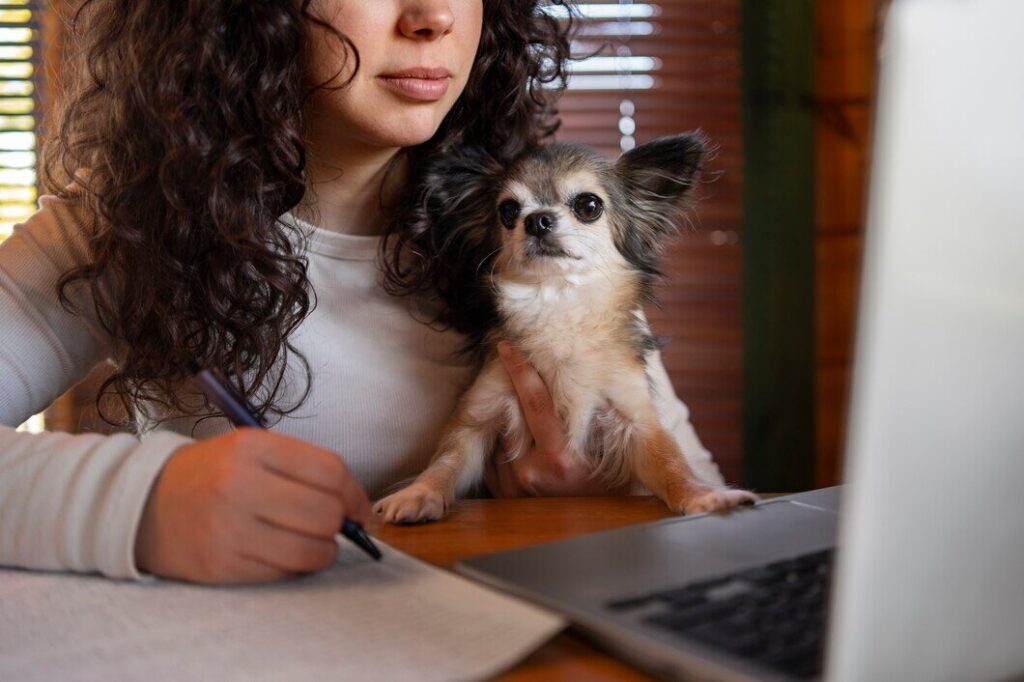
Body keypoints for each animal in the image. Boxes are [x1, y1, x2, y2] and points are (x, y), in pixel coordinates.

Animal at [372, 135, 757, 522]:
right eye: (508, 211)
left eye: (589, 205)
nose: (537, 220)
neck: (557, 301)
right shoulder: (477, 416)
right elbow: (445, 462)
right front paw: (418, 493)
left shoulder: (635, 420)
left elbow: (671, 464)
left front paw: (705, 495)